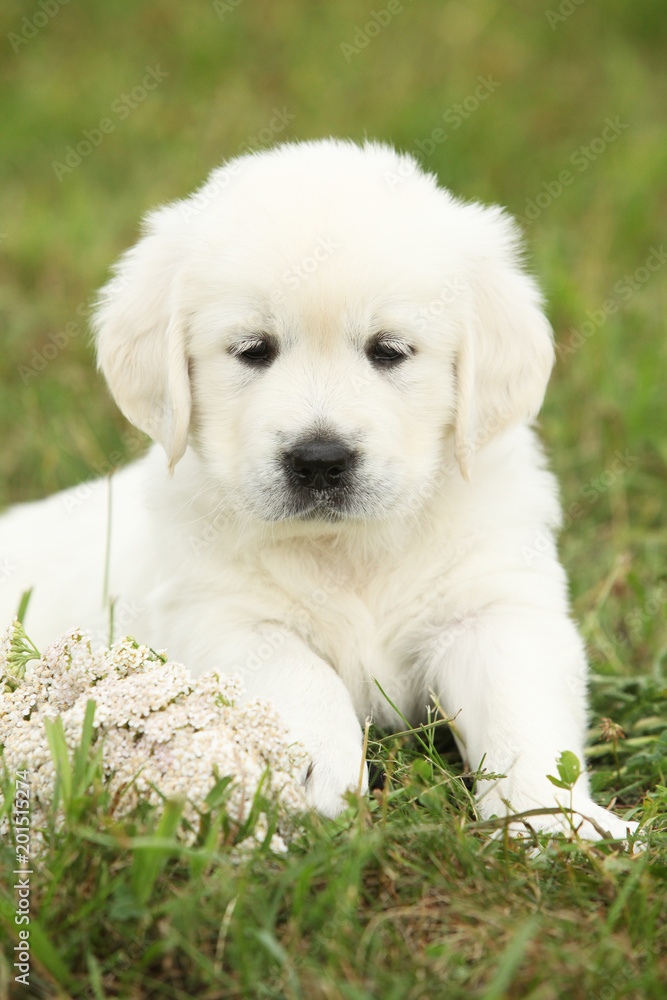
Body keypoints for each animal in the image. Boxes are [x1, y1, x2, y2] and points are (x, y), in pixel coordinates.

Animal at [0, 139, 636, 844]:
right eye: (253, 349)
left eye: (390, 350)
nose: (320, 460)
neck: (347, 549)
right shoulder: (222, 615)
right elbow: (301, 674)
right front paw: (322, 778)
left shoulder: (495, 605)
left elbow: (522, 714)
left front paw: (557, 825)